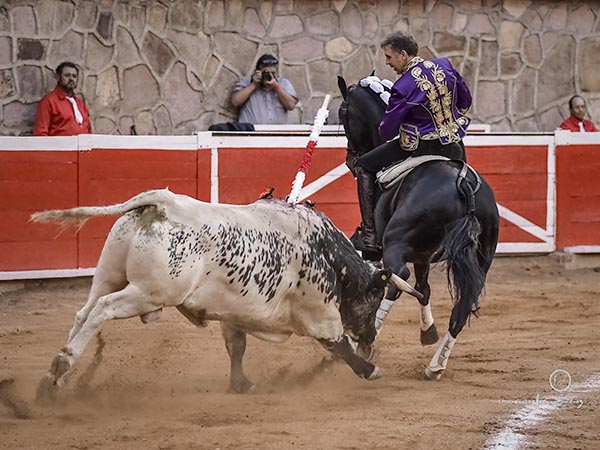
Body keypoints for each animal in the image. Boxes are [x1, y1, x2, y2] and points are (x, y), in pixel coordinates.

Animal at [31, 188, 418, 400]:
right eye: (374, 297)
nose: (370, 339)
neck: (328, 254)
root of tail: (163, 203)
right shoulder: (319, 313)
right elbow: (338, 344)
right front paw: (370, 369)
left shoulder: (233, 312)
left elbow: (236, 346)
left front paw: (242, 384)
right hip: (148, 293)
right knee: (102, 310)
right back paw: (62, 362)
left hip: (108, 275)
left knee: (84, 312)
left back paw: (52, 381)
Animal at [338, 76, 502, 380]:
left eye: (343, 113)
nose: (351, 160)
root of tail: (462, 184)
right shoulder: (423, 255)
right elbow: (424, 288)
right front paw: (428, 331)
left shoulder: (404, 249)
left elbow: (405, 284)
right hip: (481, 258)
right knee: (461, 307)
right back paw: (435, 365)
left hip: (396, 241)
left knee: (396, 276)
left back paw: (366, 341)